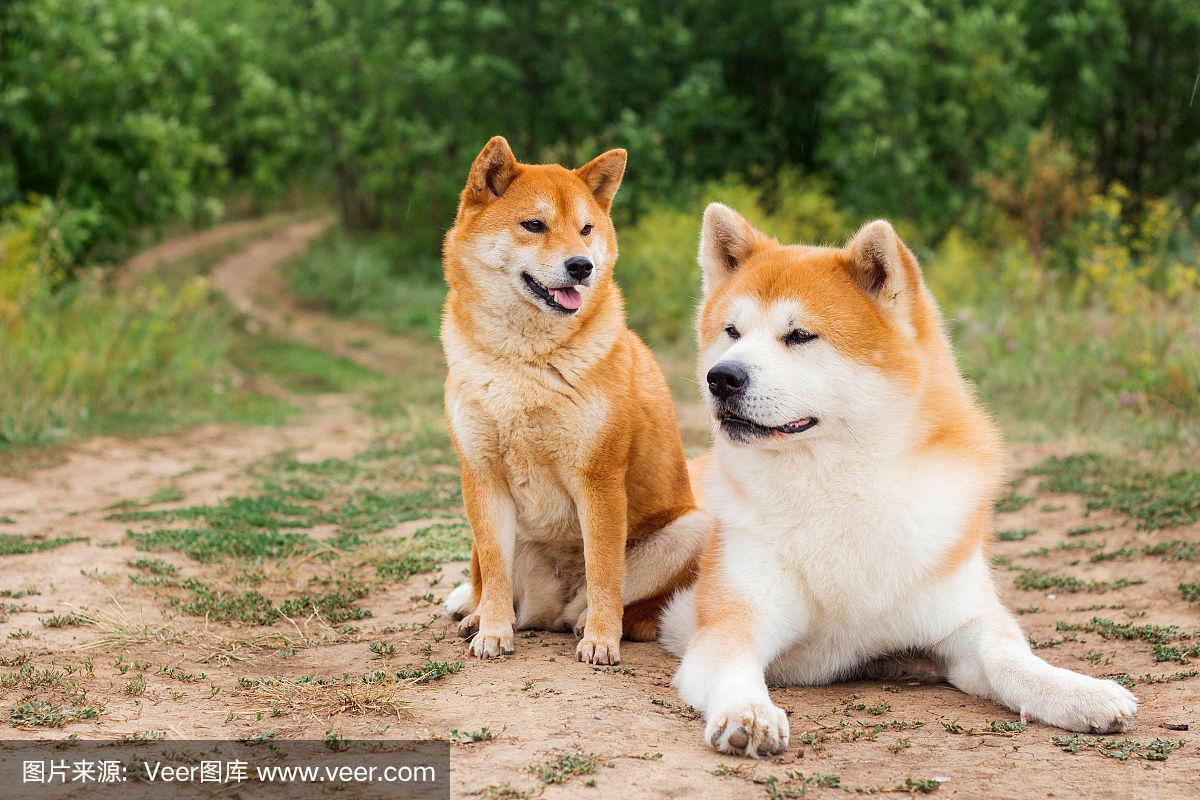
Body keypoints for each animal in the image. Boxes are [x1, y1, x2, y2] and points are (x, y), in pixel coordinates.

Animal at [662, 205, 1137, 758]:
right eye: (732, 331)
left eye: (800, 336)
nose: (722, 377)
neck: (838, 488)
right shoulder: (733, 621)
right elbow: (735, 670)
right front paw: (749, 711)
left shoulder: (965, 621)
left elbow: (1013, 661)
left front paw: (1079, 692)